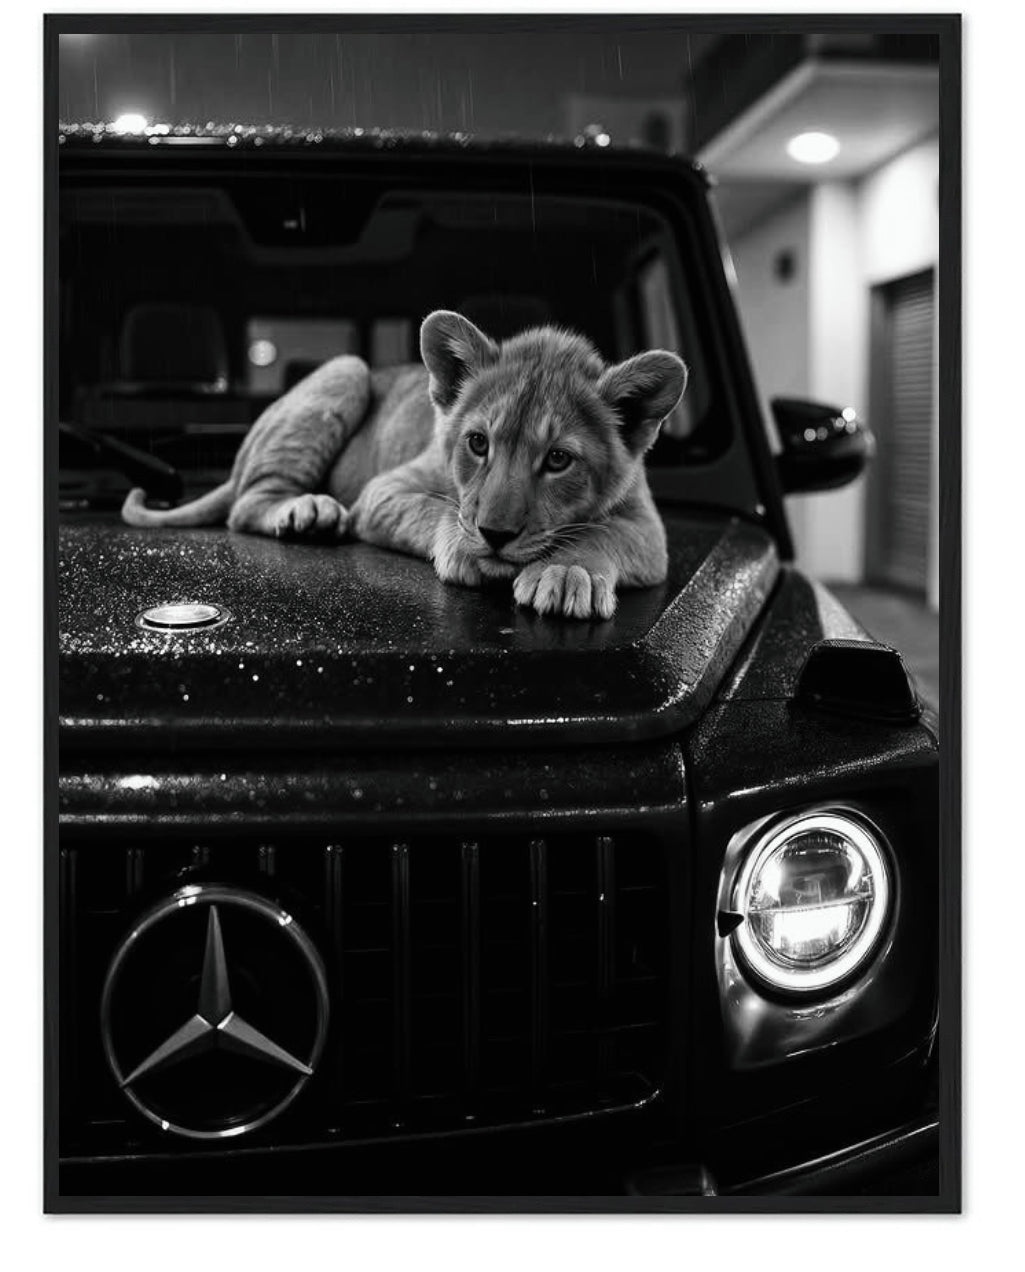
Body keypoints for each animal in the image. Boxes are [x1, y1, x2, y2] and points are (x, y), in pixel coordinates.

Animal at [122, 310, 687, 620]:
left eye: (558, 459)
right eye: (478, 443)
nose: (496, 534)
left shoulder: (649, 529)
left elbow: (603, 533)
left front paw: (570, 571)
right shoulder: (384, 492)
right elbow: (437, 512)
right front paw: (469, 548)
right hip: (347, 371)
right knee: (246, 503)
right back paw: (309, 513)